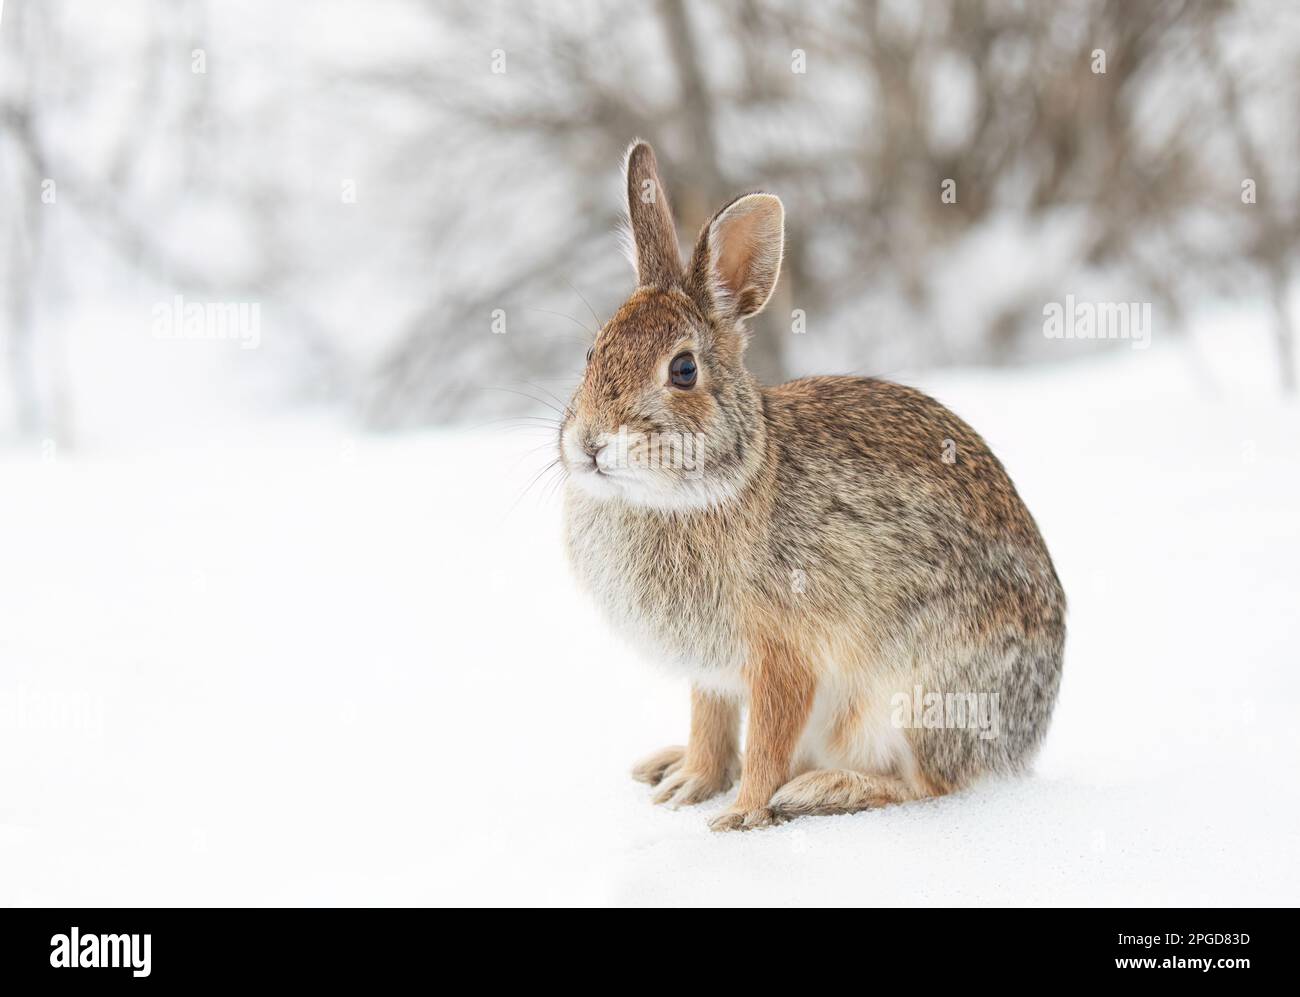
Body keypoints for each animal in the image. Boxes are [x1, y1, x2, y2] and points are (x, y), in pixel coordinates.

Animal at [559, 136, 1066, 831]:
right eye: (591, 354)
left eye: (683, 370)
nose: (589, 444)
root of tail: (1026, 735)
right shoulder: (713, 673)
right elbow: (710, 725)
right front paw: (689, 783)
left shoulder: (784, 655)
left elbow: (768, 740)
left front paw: (738, 816)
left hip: (914, 695)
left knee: (930, 785)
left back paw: (822, 790)